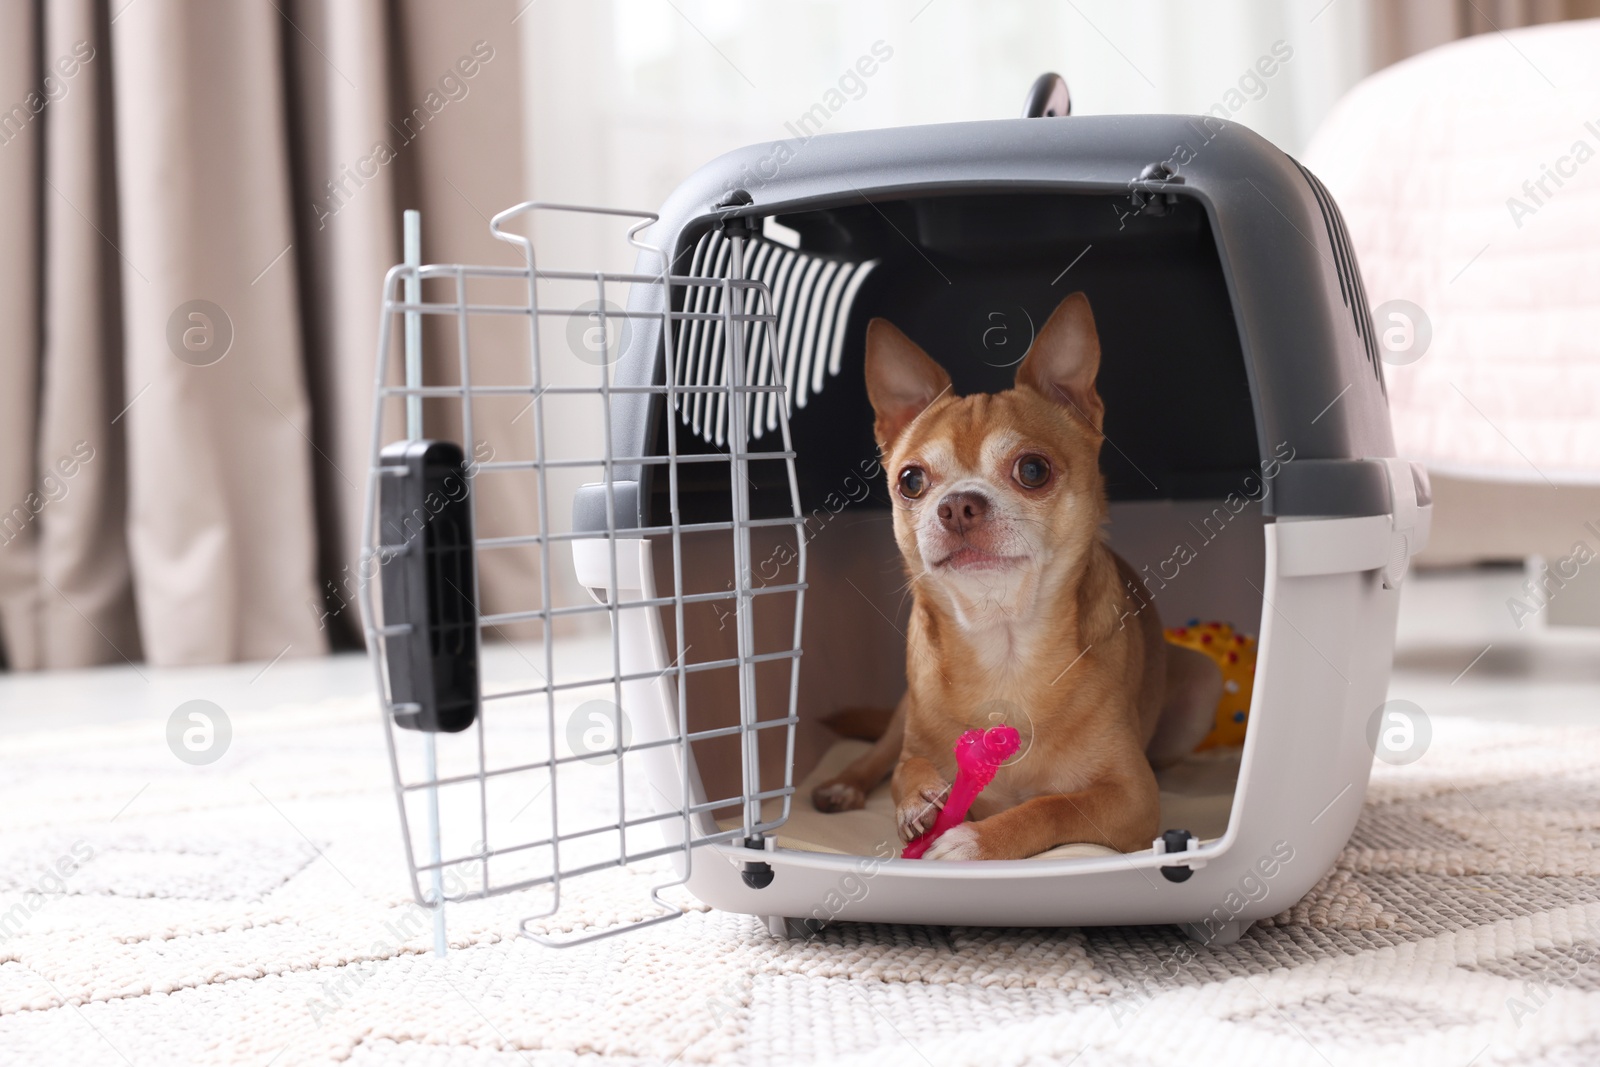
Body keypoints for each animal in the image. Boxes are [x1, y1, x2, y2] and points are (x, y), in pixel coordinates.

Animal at [812, 292, 1209, 857]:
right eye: (910, 481)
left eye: (1033, 471)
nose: (957, 505)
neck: (1003, 639)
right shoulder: (917, 743)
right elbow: (906, 770)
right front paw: (919, 800)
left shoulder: (1133, 801)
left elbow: (1052, 806)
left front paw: (975, 841)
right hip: (904, 708)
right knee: (881, 755)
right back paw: (845, 784)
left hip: (1202, 685)